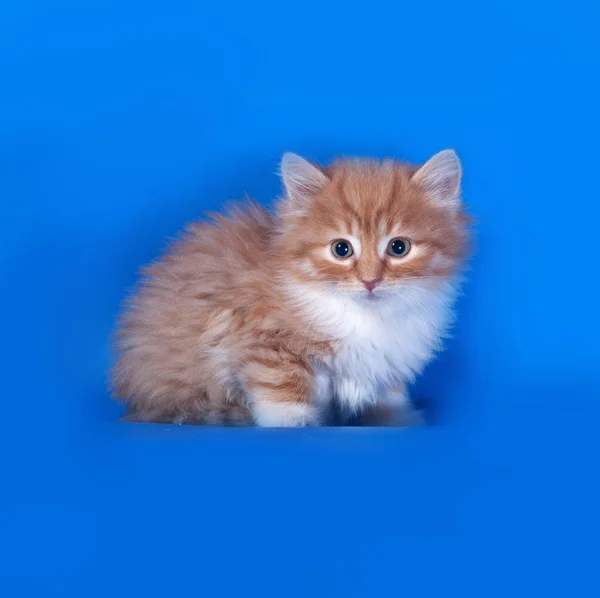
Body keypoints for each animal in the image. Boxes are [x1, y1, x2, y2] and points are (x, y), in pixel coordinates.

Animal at [111, 152, 468, 428]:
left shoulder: (387, 359)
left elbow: (386, 394)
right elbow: (279, 382)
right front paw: (293, 419)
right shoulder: (258, 332)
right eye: (341, 249)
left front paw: (396, 417)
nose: (370, 281)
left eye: (398, 247)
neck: (366, 316)